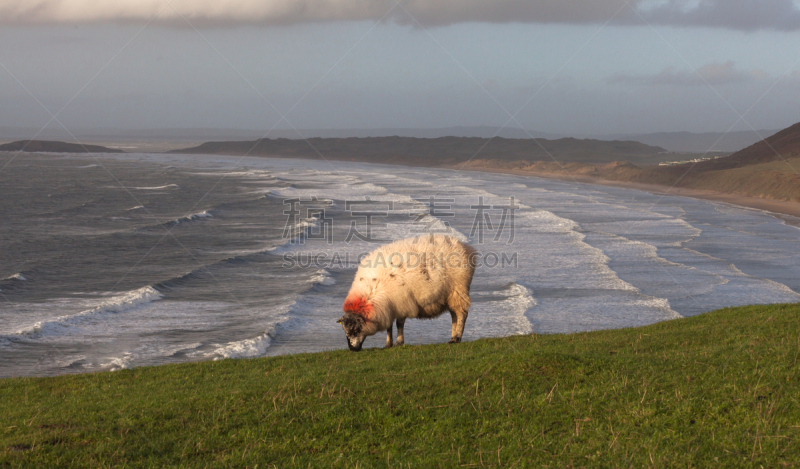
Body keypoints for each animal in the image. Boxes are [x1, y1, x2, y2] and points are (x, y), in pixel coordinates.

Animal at [336, 234, 476, 352]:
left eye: (356, 329)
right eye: (345, 330)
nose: (352, 349)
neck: (372, 292)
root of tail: (465, 247)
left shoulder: (401, 302)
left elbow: (399, 324)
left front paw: (399, 343)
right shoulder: (389, 306)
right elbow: (389, 327)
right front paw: (388, 344)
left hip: (458, 289)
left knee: (461, 314)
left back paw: (456, 338)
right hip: (450, 295)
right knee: (454, 315)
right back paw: (453, 336)